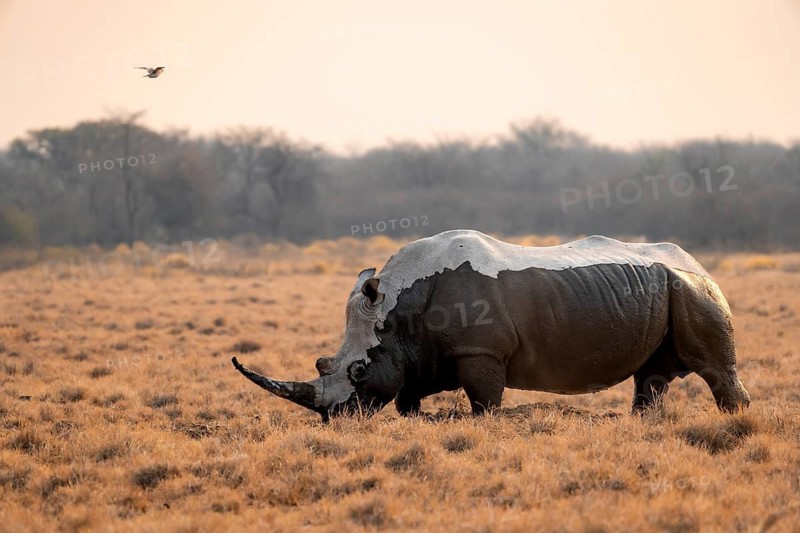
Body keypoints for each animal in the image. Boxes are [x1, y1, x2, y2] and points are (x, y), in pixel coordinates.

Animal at [232, 230, 750, 421]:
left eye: (357, 371)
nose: (332, 417)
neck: (395, 315)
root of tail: (696, 261)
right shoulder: (421, 353)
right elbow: (406, 394)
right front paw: (416, 419)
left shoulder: (480, 351)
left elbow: (484, 399)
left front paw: (481, 422)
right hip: (665, 288)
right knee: (652, 375)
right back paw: (644, 423)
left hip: (695, 289)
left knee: (714, 367)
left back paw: (735, 420)